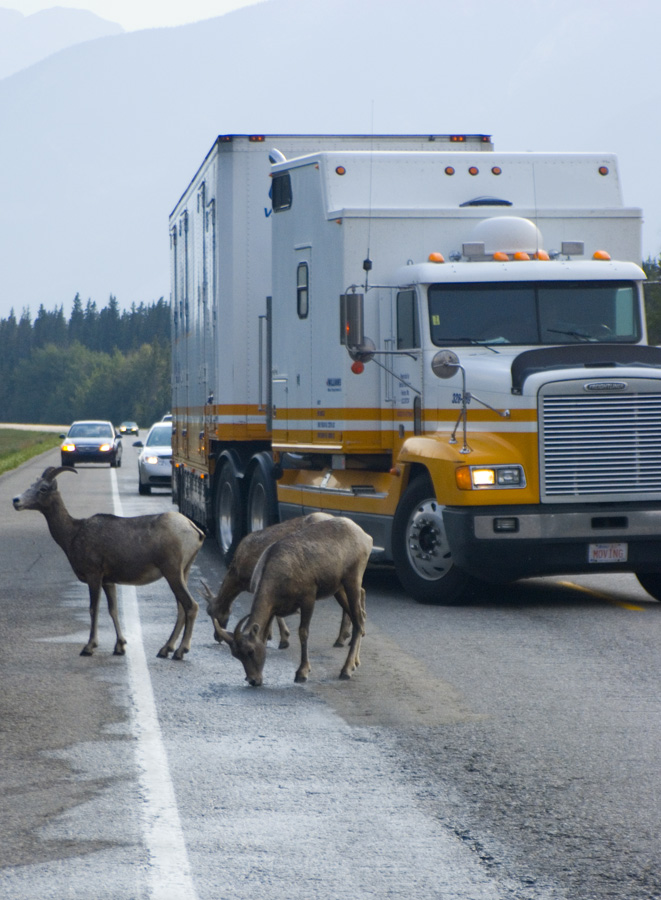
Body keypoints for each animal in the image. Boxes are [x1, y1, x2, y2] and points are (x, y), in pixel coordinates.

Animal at [12, 468, 204, 656]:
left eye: (43, 488)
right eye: (32, 485)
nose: (16, 500)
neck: (73, 534)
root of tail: (194, 530)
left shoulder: (94, 575)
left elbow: (93, 609)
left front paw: (89, 647)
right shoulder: (108, 581)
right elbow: (113, 610)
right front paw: (119, 646)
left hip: (172, 572)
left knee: (191, 606)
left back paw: (180, 651)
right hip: (183, 572)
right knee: (181, 608)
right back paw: (165, 649)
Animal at [202, 510, 356, 652]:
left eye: (211, 612)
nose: (216, 637)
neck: (239, 575)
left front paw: (279, 639)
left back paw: (342, 638)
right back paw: (345, 638)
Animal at [217, 516, 372, 684]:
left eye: (250, 651)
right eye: (236, 655)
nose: (253, 680)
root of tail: (366, 538)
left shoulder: (308, 597)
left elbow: (303, 632)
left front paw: (302, 673)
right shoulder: (273, 609)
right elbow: (265, 636)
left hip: (353, 580)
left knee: (359, 621)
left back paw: (346, 670)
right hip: (338, 589)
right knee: (359, 618)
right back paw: (355, 662)